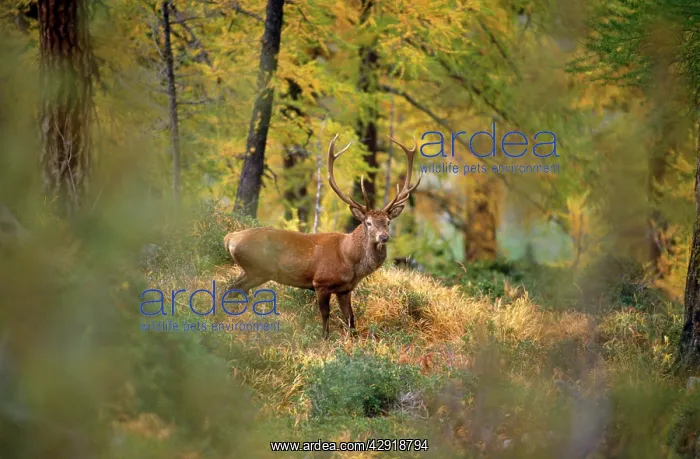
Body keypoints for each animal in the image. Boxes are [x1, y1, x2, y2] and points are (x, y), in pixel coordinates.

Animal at [223, 134, 422, 339]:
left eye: (388, 222)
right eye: (368, 223)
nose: (384, 237)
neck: (349, 259)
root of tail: (230, 239)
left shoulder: (345, 290)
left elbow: (351, 319)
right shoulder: (321, 283)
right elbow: (326, 315)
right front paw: (325, 338)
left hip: (249, 269)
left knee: (231, 288)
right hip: (259, 269)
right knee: (233, 289)